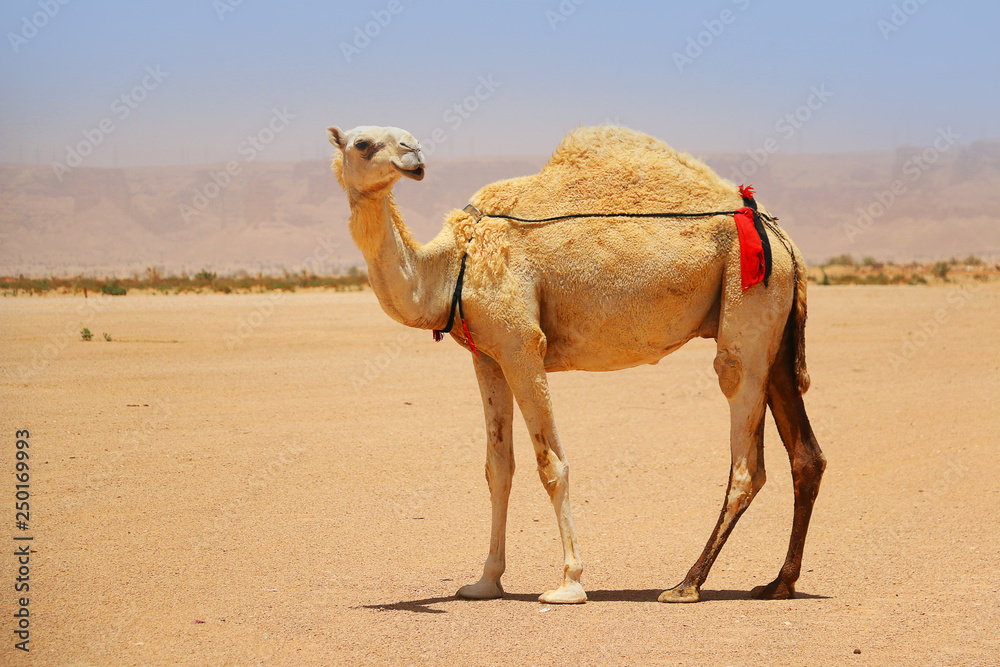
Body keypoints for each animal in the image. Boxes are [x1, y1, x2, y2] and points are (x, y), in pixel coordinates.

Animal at [327, 123, 826, 604]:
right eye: (363, 142)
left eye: (402, 137)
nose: (413, 155)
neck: (455, 264)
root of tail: (782, 239)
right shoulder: (487, 356)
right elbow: (498, 468)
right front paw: (485, 582)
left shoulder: (521, 343)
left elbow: (551, 465)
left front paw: (569, 583)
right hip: (777, 335)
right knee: (806, 456)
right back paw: (778, 583)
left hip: (747, 304)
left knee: (744, 449)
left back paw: (687, 584)